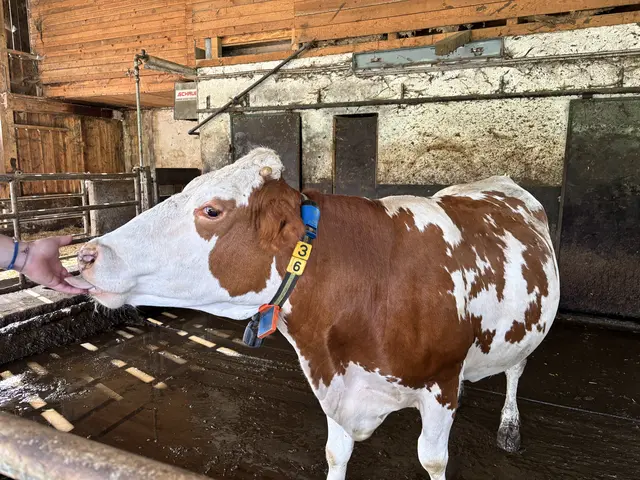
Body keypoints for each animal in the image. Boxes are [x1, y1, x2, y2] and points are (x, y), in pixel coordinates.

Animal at [71, 148, 560, 480]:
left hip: (530, 327)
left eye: (211, 210)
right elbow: (335, 453)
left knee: (516, 369)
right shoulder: (337, 385)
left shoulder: (438, 387)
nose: (87, 254)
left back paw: (510, 427)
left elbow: (434, 459)